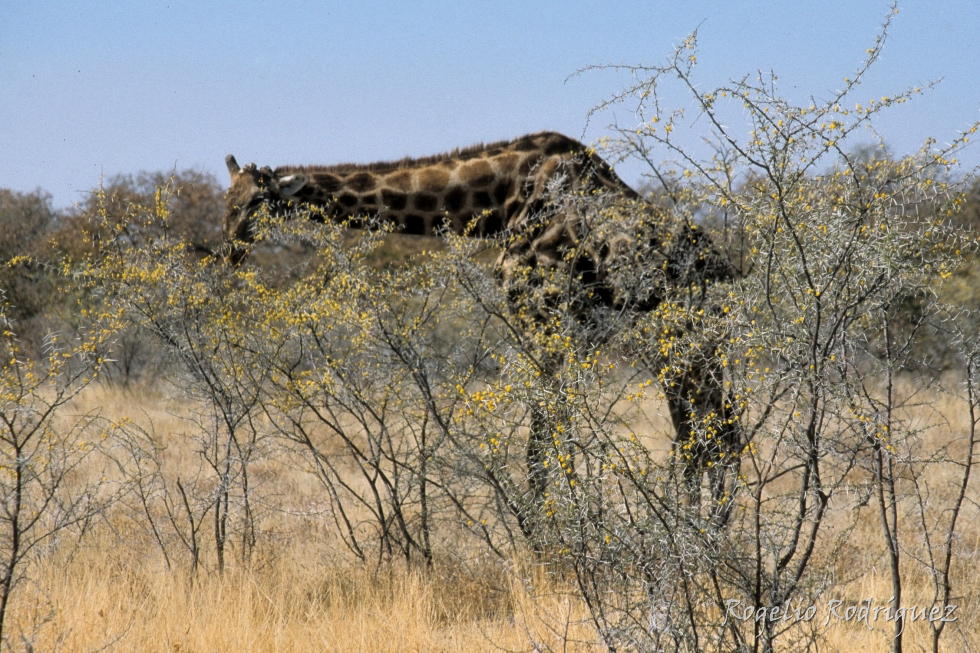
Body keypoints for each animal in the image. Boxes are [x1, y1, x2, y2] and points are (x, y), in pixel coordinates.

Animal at [222, 131, 740, 528]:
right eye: (227, 201)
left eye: (257, 203)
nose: (228, 251)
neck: (501, 197)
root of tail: (725, 269)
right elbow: (554, 433)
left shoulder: (543, 317)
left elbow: (544, 438)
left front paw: (555, 535)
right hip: (691, 348)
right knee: (717, 434)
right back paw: (707, 532)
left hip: (680, 341)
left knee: (709, 438)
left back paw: (698, 534)